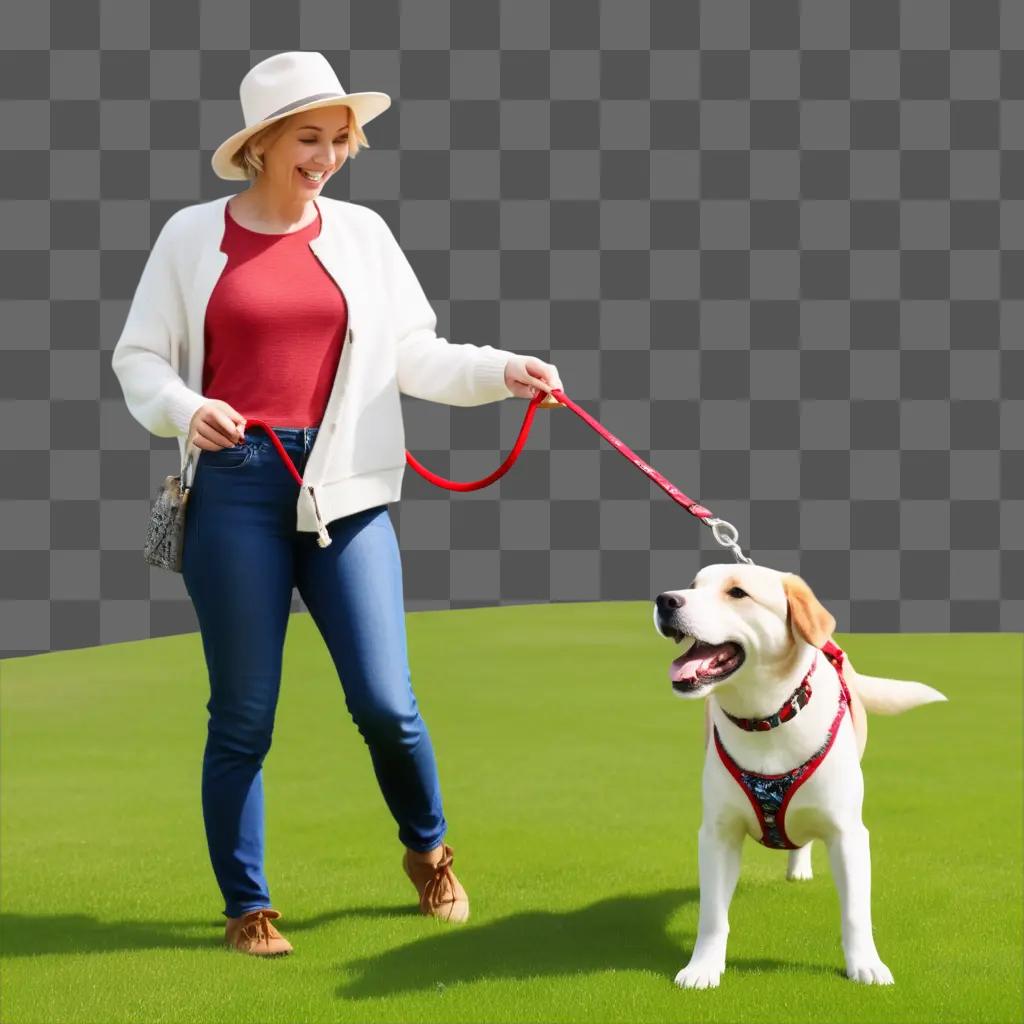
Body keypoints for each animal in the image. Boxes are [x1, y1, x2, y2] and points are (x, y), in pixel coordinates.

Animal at [651, 565, 946, 987]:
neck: (767, 719)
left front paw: (865, 964)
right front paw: (703, 967)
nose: (665, 600)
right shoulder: (717, 835)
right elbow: (712, 916)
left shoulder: (848, 833)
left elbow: (856, 913)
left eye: (737, 593)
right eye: (692, 587)